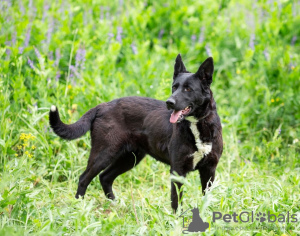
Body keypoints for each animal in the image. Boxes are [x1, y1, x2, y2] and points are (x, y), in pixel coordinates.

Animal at [49, 54, 223, 211]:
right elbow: (176, 200)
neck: (197, 125)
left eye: (188, 89)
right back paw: (79, 207)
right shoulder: (178, 170)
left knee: (105, 177)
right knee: (84, 178)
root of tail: (102, 106)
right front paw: (177, 219)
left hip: (129, 158)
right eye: (174, 87)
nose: (169, 102)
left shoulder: (209, 170)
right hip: (104, 153)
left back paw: (116, 204)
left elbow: (206, 197)